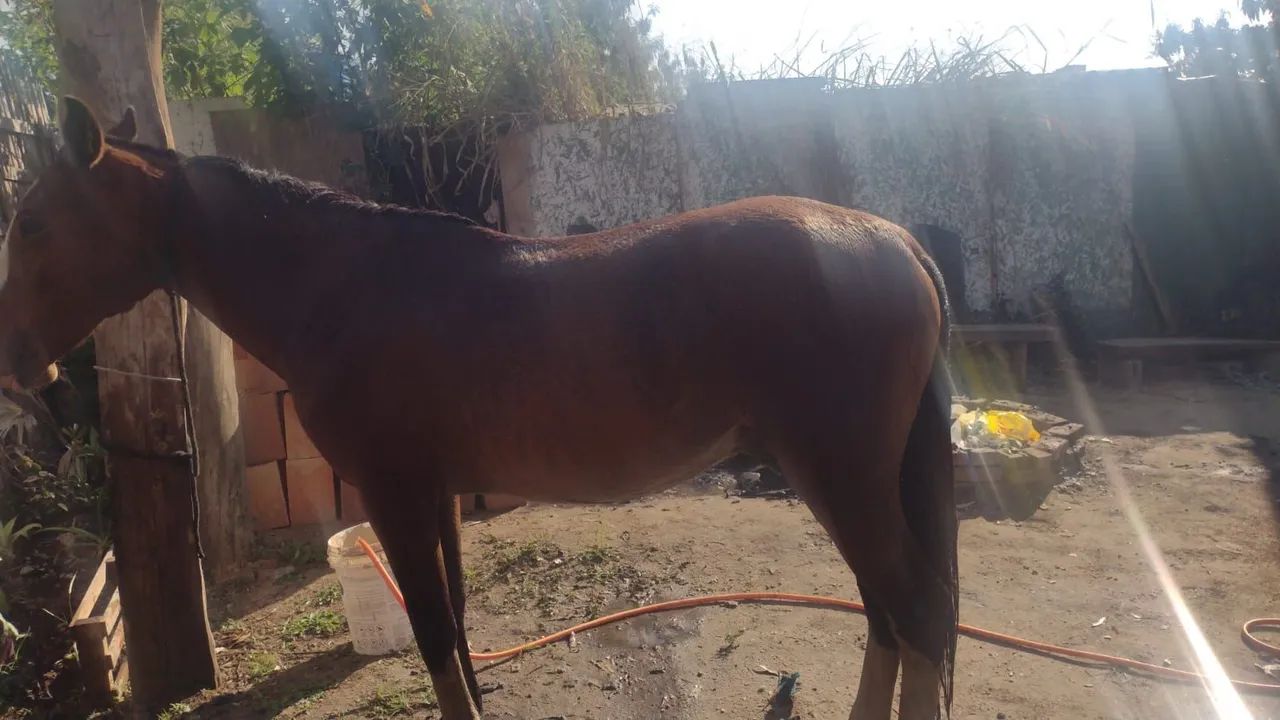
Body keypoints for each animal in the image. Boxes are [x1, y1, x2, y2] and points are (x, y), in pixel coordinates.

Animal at [0, 97, 957, 720]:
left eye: (35, 223)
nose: (17, 359)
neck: (341, 289)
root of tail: (894, 241)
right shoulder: (438, 496)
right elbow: (457, 635)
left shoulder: (395, 494)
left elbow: (434, 640)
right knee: (892, 616)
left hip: (842, 477)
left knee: (913, 616)